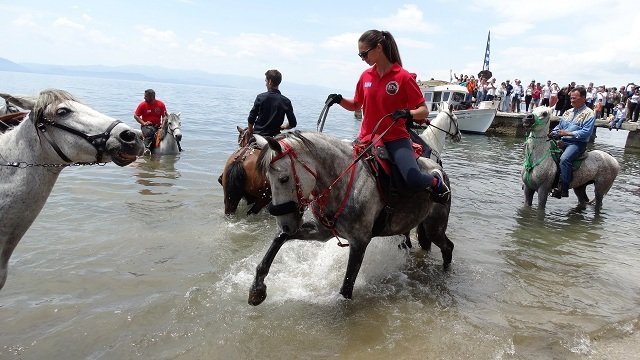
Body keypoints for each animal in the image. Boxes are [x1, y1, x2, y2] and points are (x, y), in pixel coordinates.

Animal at [248, 131, 452, 306]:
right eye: (267, 179)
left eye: (284, 178)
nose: (285, 223)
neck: (345, 181)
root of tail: (439, 169)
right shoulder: (322, 232)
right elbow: (280, 238)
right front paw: (257, 288)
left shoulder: (359, 242)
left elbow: (346, 287)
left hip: (434, 227)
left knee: (448, 247)